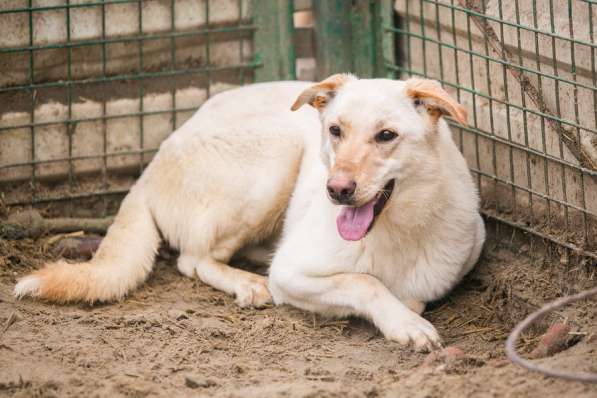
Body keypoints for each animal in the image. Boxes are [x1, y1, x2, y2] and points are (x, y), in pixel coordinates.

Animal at [14, 74, 484, 348]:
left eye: (387, 135)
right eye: (335, 131)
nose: (336, 190)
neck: (398, 231)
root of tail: (150, 166)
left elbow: (409, 293)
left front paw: (406, 312)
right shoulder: (291, 273)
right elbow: (365, 282)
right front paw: (405, 324)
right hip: (273, 159)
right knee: (192, 260)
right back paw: (247, 283)